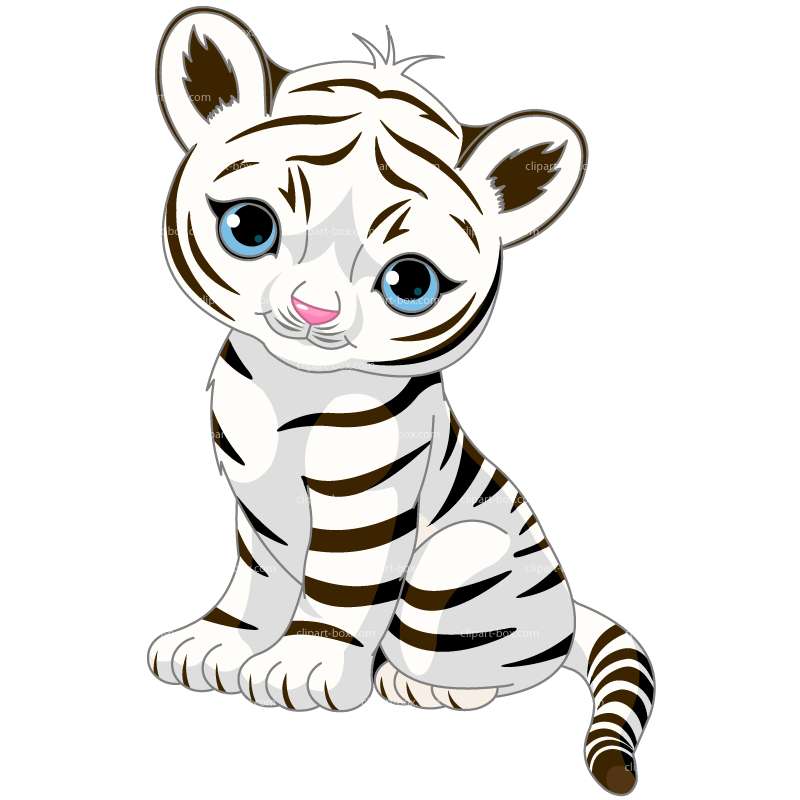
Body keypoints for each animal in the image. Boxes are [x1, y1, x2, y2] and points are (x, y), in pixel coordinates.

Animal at [148, 7, 655, 795]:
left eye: (409, 282)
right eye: (251, 228)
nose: (314, 310)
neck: (286, 385)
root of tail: (569, 611)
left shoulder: (366, 499)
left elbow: (342, 589)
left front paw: (304, 667)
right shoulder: (252, 498)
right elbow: (257, 577)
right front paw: (218, 644)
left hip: (460, 564)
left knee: (502, 668)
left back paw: (421, 685)